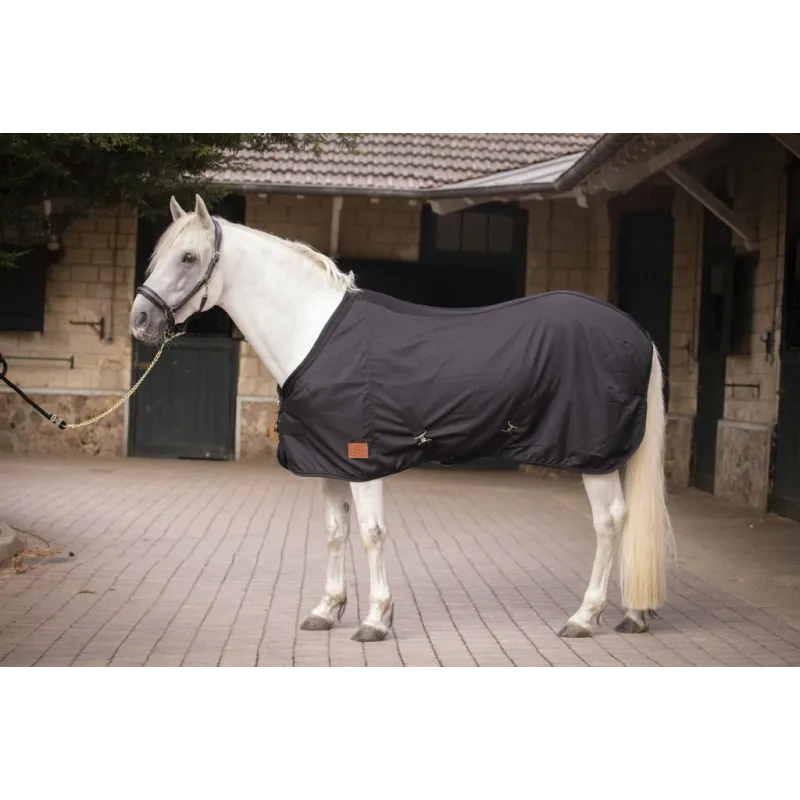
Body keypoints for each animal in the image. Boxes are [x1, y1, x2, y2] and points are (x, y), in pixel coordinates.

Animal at [129, 194, 675, 643]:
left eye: (188, 257)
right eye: (160, 255)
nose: (140, 320)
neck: (313, 330)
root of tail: (636, 332)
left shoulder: (362, 459)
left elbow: (372, 534)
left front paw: (375, 620)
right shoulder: (328, 461)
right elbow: (335, 532)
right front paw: (326, 611)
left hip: (592, 455)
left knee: (610, 521)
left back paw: (585, 617)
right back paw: (634, 614)